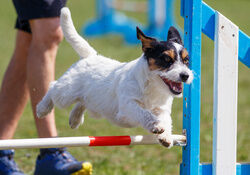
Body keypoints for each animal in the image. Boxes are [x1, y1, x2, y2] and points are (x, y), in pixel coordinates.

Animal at [36, 7, 193, 148]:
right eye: (166, 59)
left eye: (186, 60)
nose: (185, 75)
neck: (153, 87)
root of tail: (90, 56)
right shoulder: (128, 105)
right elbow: (144, 113)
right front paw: (156, 125)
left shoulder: (162, 109)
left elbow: (166, 120)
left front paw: (166, 136)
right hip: (66, 93)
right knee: (53, 87)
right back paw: (42, 109)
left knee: (82, 102)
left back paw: (75, 118)